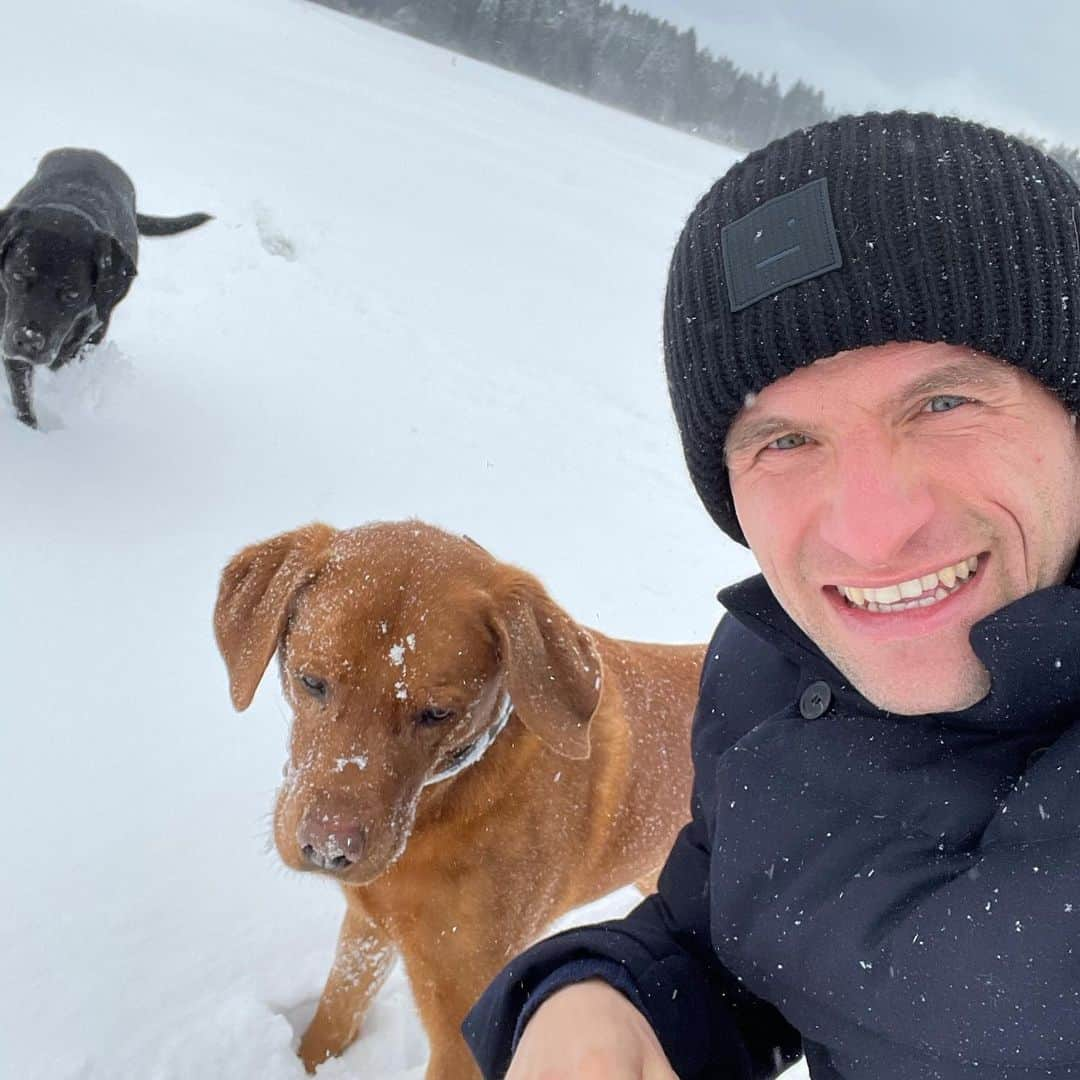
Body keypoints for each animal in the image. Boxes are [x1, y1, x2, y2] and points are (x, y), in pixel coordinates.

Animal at [212, 520, 699, 1071]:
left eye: (437, 713)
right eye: (311, 681)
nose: (328, 849)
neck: (438, 810)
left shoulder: (464, 1021)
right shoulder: (368, 925)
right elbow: (334, 1015)